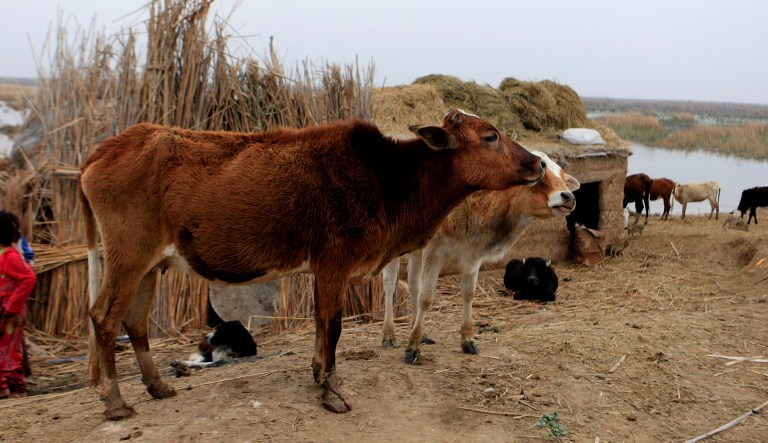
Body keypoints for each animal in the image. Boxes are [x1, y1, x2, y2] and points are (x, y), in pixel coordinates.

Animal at [78, 109, 545, 419]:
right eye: (490, 136)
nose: (539, 163)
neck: (388, 178)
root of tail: (103, 150)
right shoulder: (333, 264)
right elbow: (332, 325)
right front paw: (331, 390)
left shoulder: (325, 270)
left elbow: (322, 326)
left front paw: (319, 374)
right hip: (128, 256)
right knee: (104, 317)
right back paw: (114, 401)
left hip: (149, 265)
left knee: (135, 321)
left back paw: (157, 387)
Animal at [380, 151, 579, 363]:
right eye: (541, 169)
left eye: (561, 174)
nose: (569, 196)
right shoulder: (434, 252)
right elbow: (426, 298)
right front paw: (412, 348)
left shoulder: (474, 255)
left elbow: (468, 293)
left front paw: (467, 341)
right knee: (390, 284)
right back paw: (388, 335)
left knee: (413, 283)